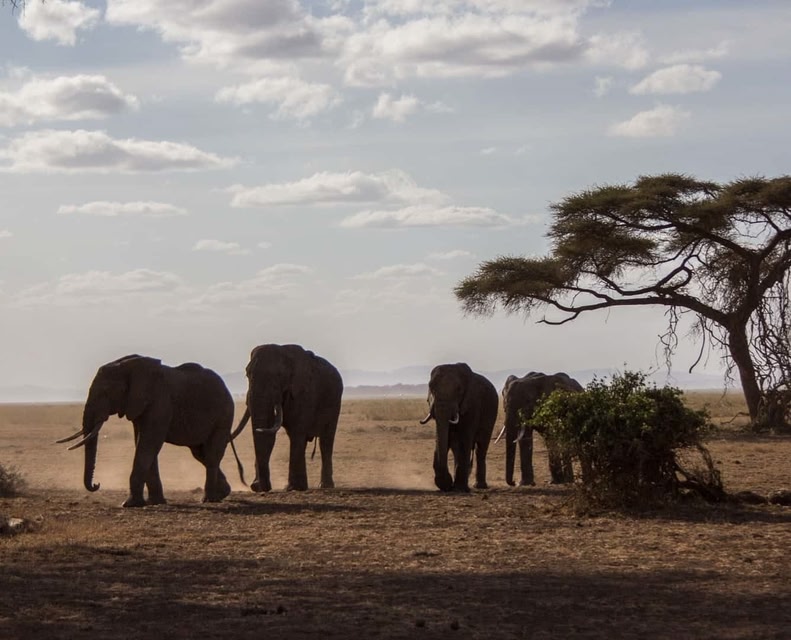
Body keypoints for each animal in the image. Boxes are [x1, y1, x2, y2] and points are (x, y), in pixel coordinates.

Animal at [57, 354, 239, 508]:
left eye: (106, 392)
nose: (96, 484)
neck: (130, 365)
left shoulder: (160, 402)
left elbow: (148, 444)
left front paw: (129, 504)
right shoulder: (138, 406)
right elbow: (143, 443)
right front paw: (155, 502)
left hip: (224, 415)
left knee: (211, 454)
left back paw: (208, 499)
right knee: (200, 453)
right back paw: (223, 493)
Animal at [232, 344, 343, 492]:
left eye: (279, 376)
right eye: (247, 375)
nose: (257, 486)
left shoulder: (304, 393)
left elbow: (296, 431)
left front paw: (294, 488)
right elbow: (270, 434)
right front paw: (260, 487)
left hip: (335, 402)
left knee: (325, 440)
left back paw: (324, 486)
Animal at [419, 363, 498, 492]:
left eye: (459, 390)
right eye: (431, 387)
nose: (448, 484)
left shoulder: (472, 404)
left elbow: (464, 439)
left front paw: (459, 488)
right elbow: (444, 438)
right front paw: (448, 485)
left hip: (491, 414)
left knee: (481, 447)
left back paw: (479, 486)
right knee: (457, 447)